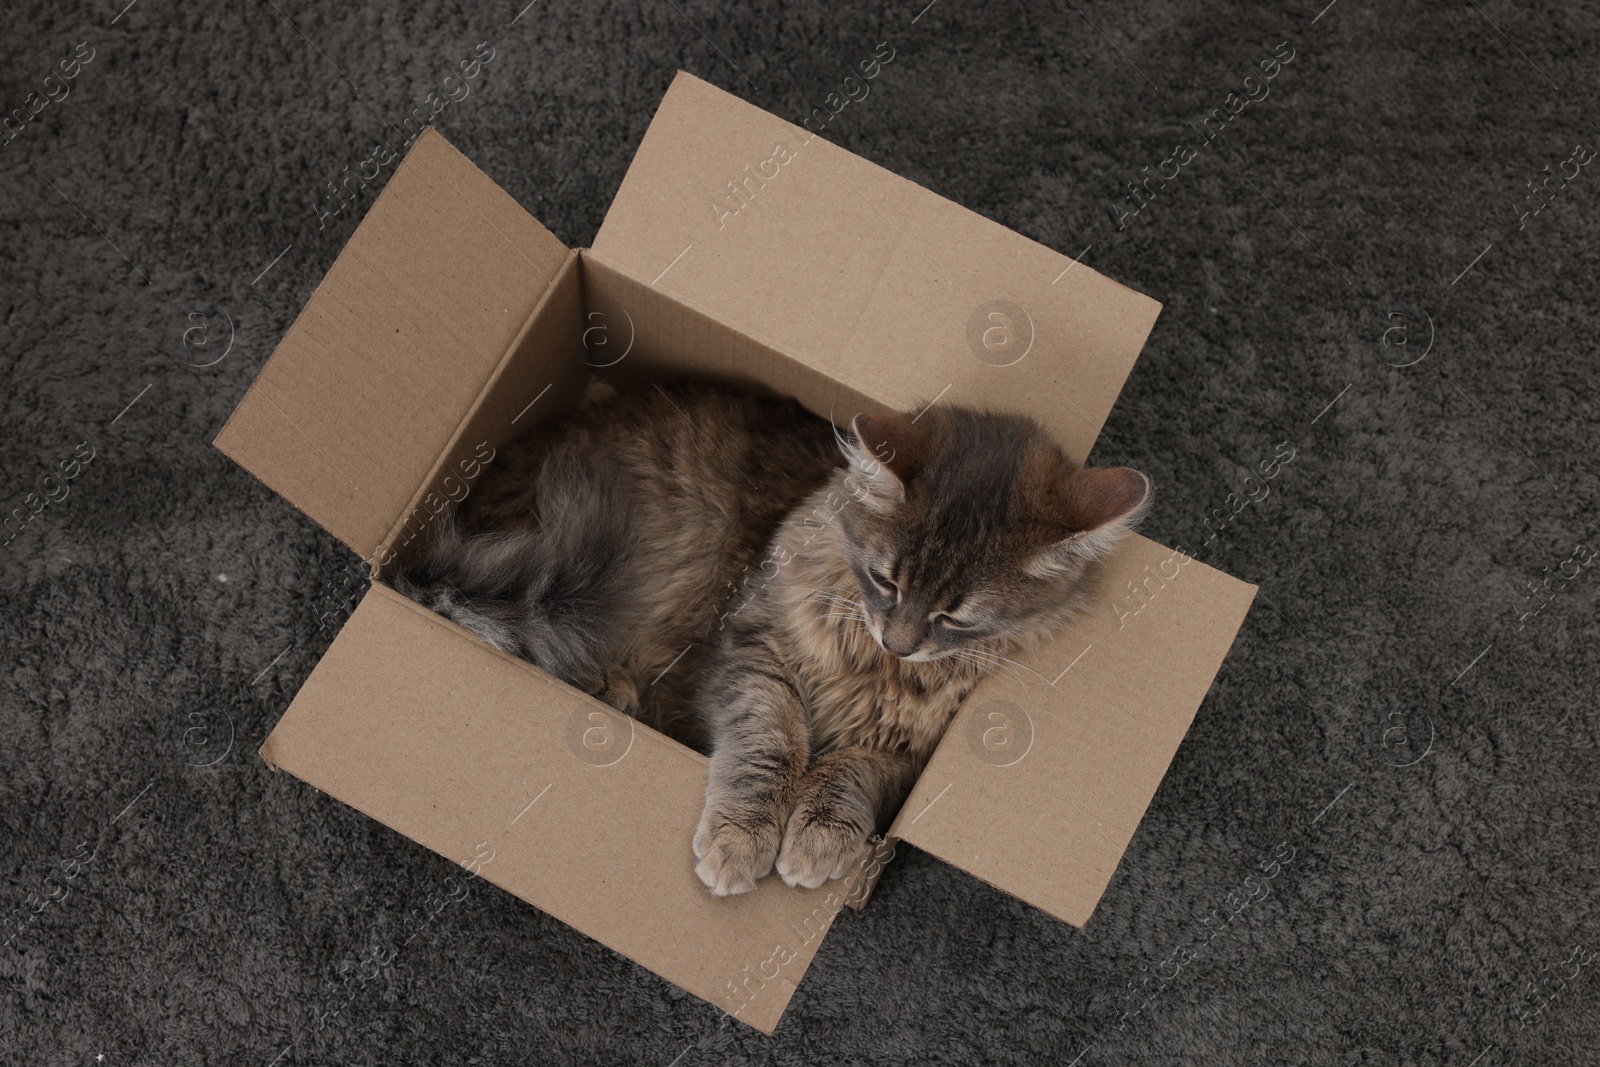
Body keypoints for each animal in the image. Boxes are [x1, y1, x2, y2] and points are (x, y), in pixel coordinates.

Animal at [398, 379, 1152, 895]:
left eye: (956, 616)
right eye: (885, 580)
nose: (900, 641)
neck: (873, 668)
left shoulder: (909, 754)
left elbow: (848, 770)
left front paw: (818, 838)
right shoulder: (749, 650)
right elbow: (772, 740)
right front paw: (741, 840)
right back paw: (610, 689)